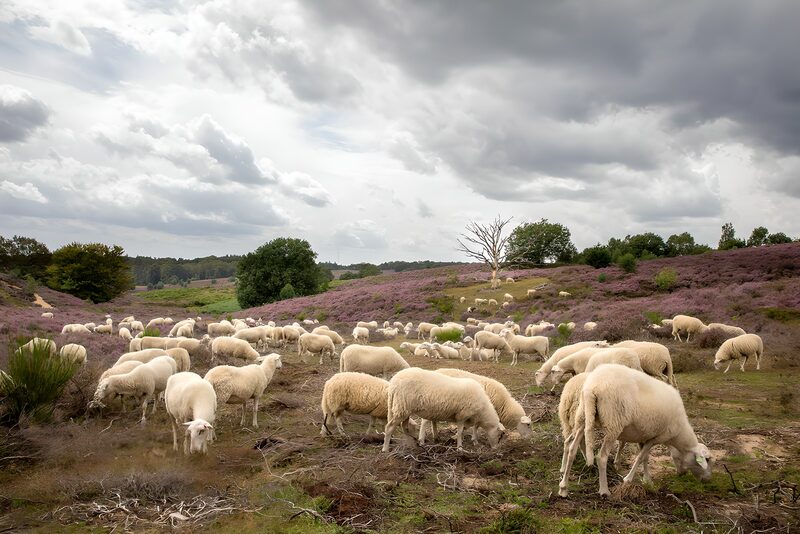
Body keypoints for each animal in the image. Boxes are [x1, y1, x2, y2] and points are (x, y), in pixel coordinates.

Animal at [559, 364, 712, 497]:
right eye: (707, 460)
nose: (708, 480)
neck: (677, 437)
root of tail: (593, 387)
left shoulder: (644, 435)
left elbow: (645, 458)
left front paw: (647, 480)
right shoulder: (657, 437)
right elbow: (640, 457)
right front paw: (628, 479)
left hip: (583, 417)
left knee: (572, 449)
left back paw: (563, 488)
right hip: (614, 424)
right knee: (601, 457)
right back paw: (604, 490)